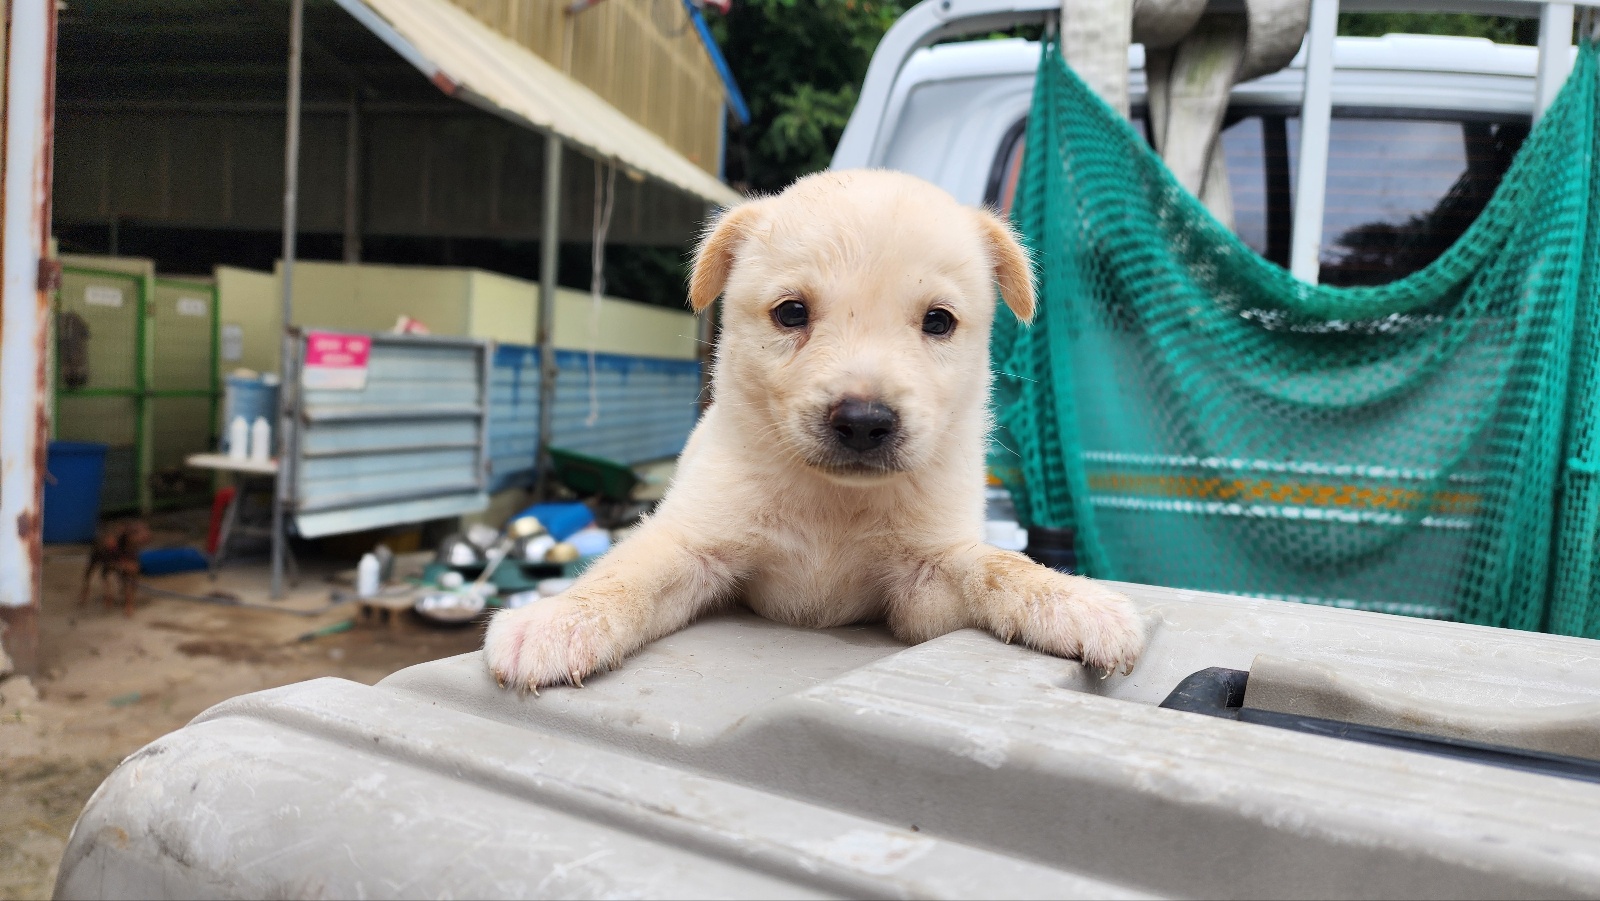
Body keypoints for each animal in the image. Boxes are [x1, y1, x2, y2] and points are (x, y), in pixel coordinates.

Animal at [480, 167, 1145, 691]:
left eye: (938, 322)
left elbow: (997, 566)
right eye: (791, 313)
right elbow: (626, 574)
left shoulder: (925, 582)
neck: (833, 505)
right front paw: (558, 621)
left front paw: (1075, 601)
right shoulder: (699, 546)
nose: (864, 422)